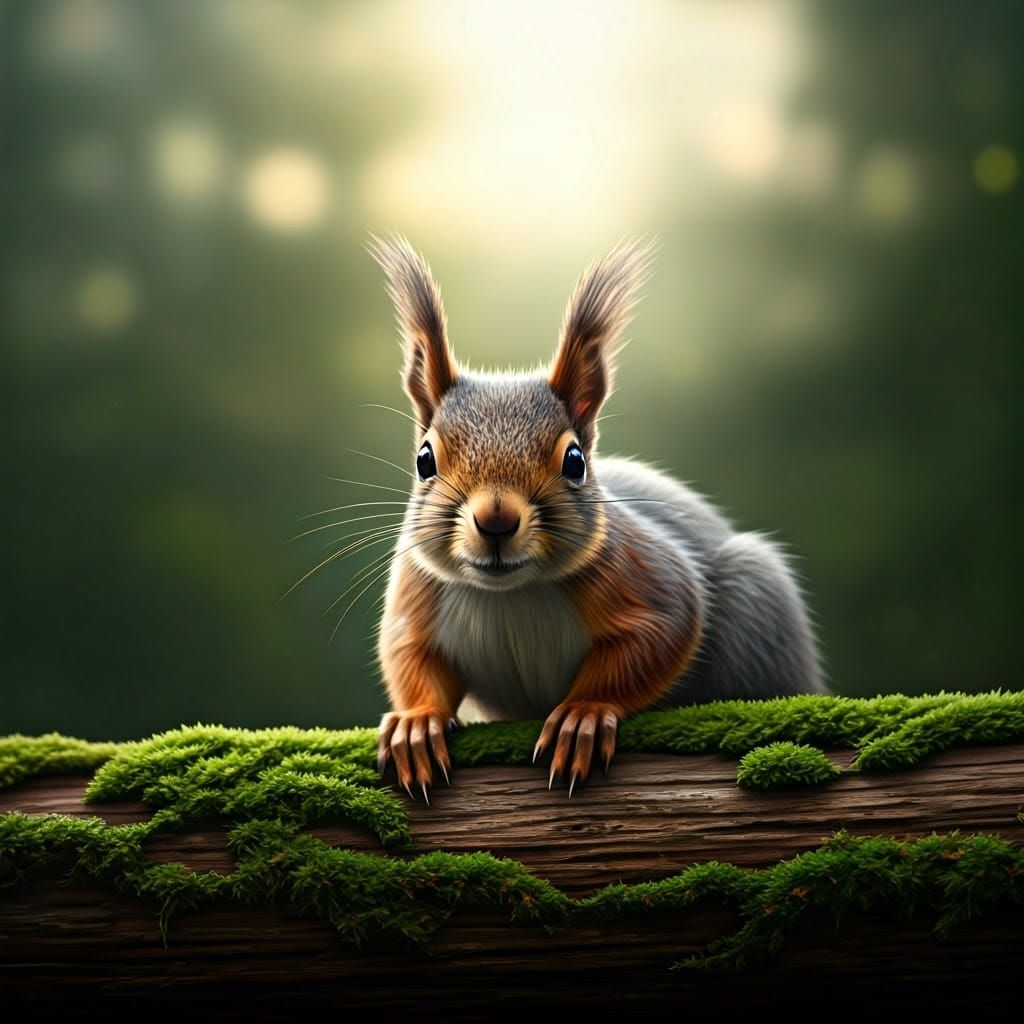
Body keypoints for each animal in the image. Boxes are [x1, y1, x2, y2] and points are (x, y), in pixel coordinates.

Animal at [369, 237, 825, 799]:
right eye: (424, 460)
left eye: (575, 461)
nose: (496, 520)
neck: (510, 595)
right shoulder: (419, 594)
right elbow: (411, 656)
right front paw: (416, 723)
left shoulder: (648, 579)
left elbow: (654, 639)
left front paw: (582, 715)